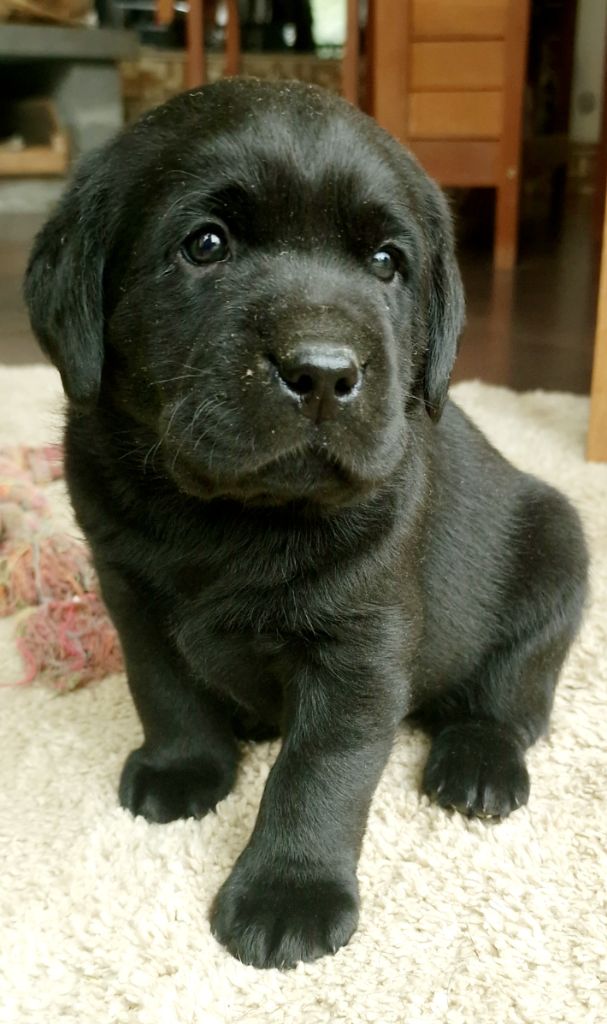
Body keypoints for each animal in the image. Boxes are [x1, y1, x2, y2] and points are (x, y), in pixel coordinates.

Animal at [24, 79, 585, 966]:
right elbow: (163, 689)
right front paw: (185, 767)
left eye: (387, 262)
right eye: (205, 245)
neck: (227, 515)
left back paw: (477, 765)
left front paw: (288, 891)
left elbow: (319, 771)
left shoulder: (358, 647)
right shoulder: (128, 592)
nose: (322, 372)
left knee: (513, 702)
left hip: (556, 556)